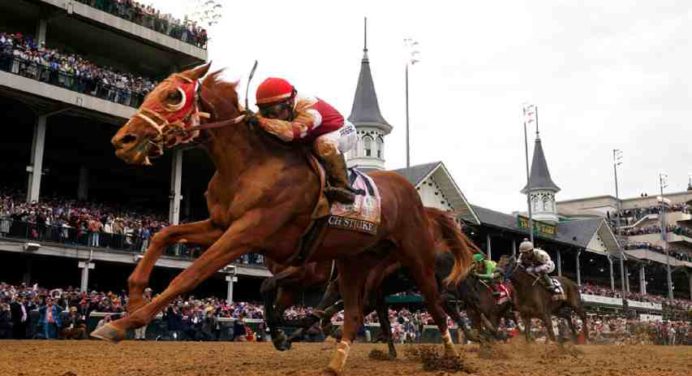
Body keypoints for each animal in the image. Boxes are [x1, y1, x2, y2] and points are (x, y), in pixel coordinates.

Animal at [92, 63, 474, 374]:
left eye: (173, 96)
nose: (123, 140)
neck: (251, 164)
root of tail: (416, 196)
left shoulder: (248, 232)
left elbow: (191, 275)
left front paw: (124, 323)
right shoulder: (221, 225)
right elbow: (164, 235)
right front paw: (135, 296)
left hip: (416, 258)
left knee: (437, 307)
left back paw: (454, 356)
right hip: (354, 263)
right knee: (354, 312)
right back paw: (336, 361)